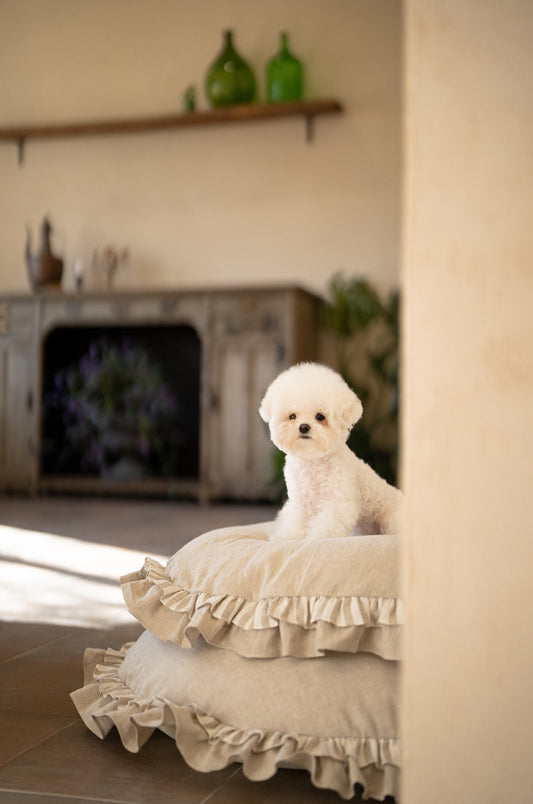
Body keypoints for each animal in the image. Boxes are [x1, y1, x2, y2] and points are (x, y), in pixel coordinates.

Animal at [258, 362, 404, 540]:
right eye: (292, 416)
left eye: (320, 416)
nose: (304, 427)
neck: (313, 460)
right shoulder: (300, 502)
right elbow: (294, 523)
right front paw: (287, 537)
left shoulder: (337, 501)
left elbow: (326, 526)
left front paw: (315, 538)